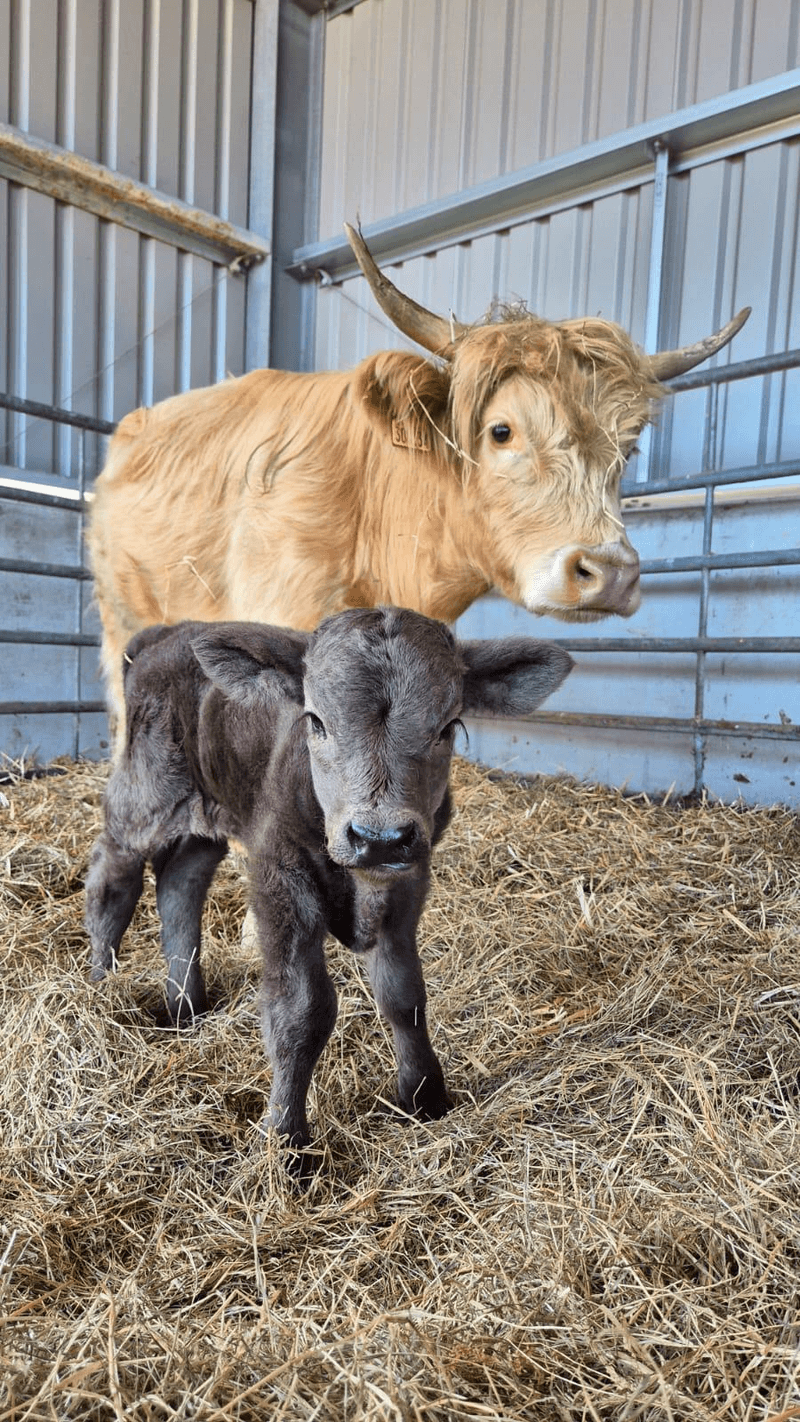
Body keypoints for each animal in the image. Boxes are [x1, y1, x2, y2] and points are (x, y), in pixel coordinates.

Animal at [84, 607, 573, 1164]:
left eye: (448, 726)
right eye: (316, 721)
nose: (379, 838)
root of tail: (167, 633)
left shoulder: (408, 884)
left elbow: (404, 995)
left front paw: (424, 1097)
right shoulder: (280, 874)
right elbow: (302, 1010)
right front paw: (286, 1141)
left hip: (210, 813)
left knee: (179, 885)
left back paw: (184, 1006)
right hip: (145, 791)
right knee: (113, 879)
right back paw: (100, 985)